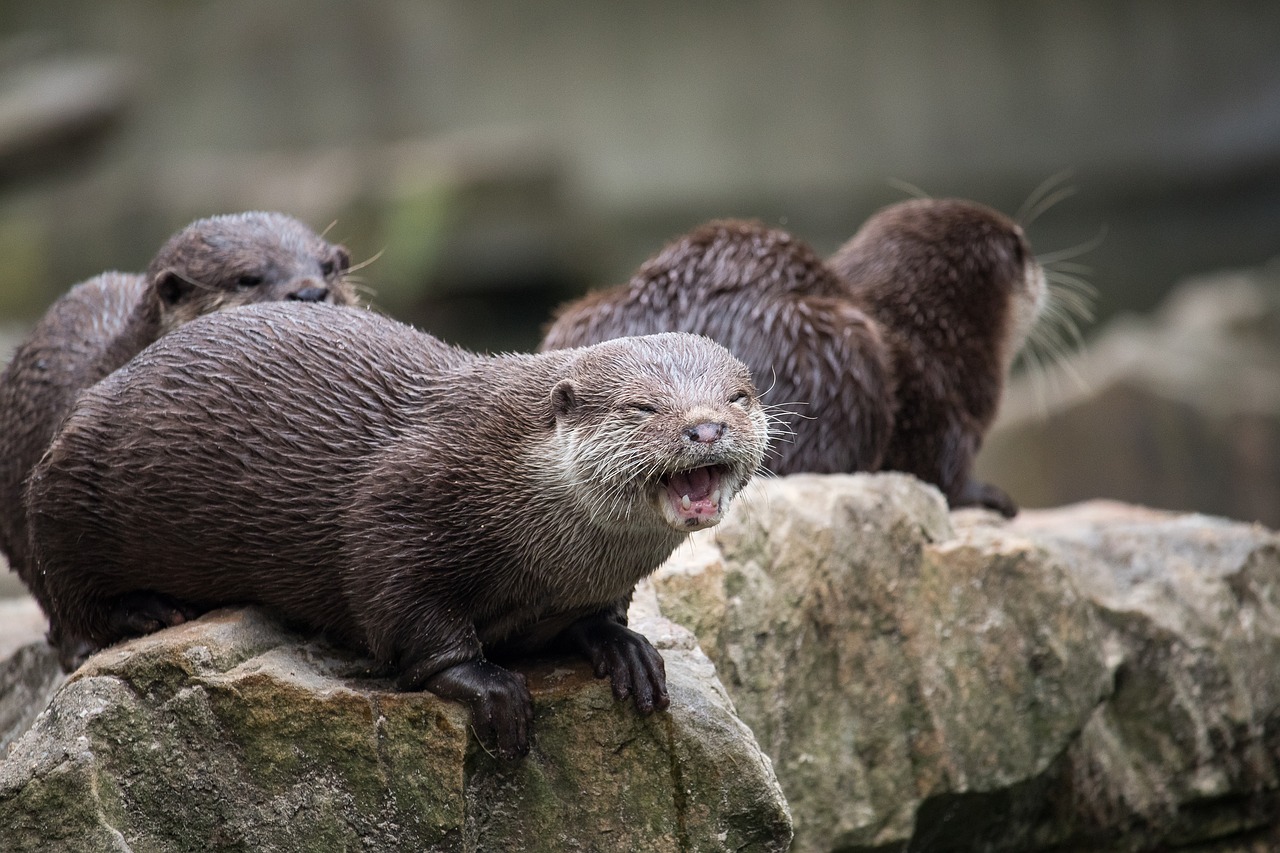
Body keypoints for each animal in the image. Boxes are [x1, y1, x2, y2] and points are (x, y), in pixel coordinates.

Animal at [27, 300, 768, 758]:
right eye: (642, 407)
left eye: (738, 396)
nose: (706, 427)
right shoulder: (402, 505)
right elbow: (402, 610)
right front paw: (490, 687)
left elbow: (597, 617)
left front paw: (624, 647)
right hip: (67, 492)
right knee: (68, 601)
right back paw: (147, 612)